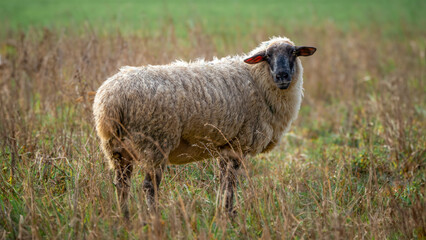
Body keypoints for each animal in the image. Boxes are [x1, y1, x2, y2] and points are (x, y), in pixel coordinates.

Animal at [95, 36, 318, 218]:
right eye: (267, 56)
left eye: (294, 53)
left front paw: (222, 212)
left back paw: (125, 218)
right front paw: (229, 215)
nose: (282, 75)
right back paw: (154, 219)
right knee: (149, 187)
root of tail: (112, 100)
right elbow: (230, 183)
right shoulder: (237, 144)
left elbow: (223, 181)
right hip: (154, 143)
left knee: (122, 185)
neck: (257, 80)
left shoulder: (225, 146)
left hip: (116, 149)